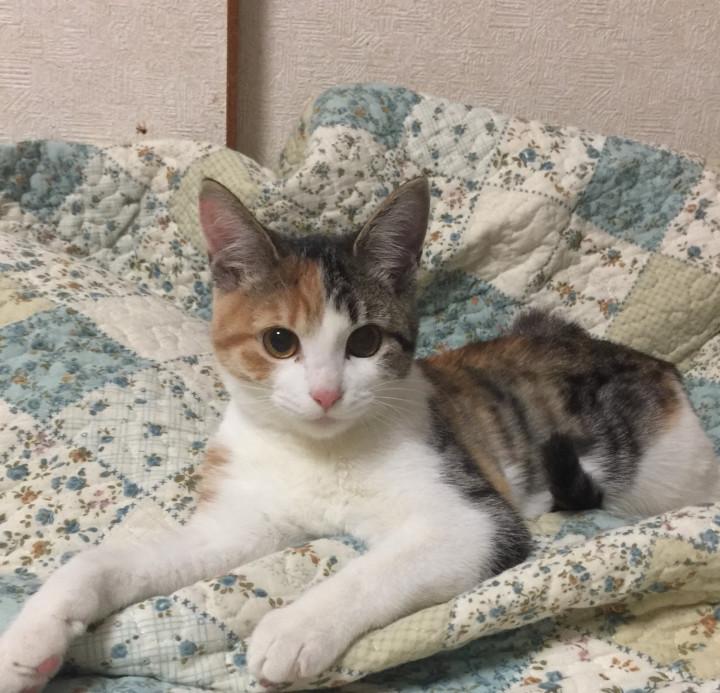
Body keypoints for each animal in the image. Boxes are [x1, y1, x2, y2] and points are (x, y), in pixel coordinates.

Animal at [0, 176, 717, 692]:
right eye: (279, 340)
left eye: (366, 341)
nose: (325, 393)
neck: (321, 452)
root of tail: (645, 359)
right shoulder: (238, 522)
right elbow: (108, 560)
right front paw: (35, 634)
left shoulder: (475, 517)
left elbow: (375, 569)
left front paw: (293, 627)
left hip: (664, 473)